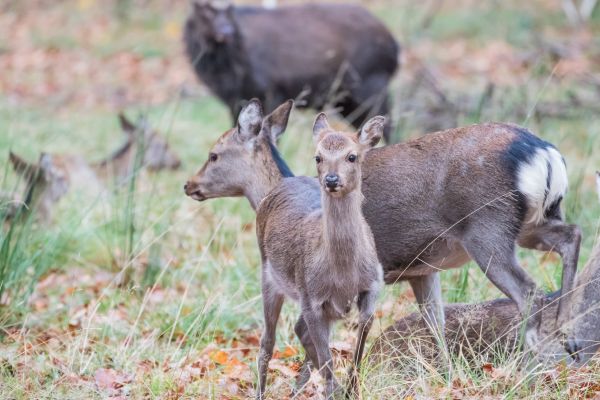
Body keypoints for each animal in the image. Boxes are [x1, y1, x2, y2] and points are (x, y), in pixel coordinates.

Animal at [186, 100, 580, 372]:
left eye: (214, 154)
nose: (189, 184)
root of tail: (544, 153)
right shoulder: (423, 269)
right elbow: (435, 324)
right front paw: (447, 376)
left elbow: (310, 341)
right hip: (533, 222)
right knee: (572, 236)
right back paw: (568, 332)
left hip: (488, 230)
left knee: (529, 291)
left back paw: (530, 365)